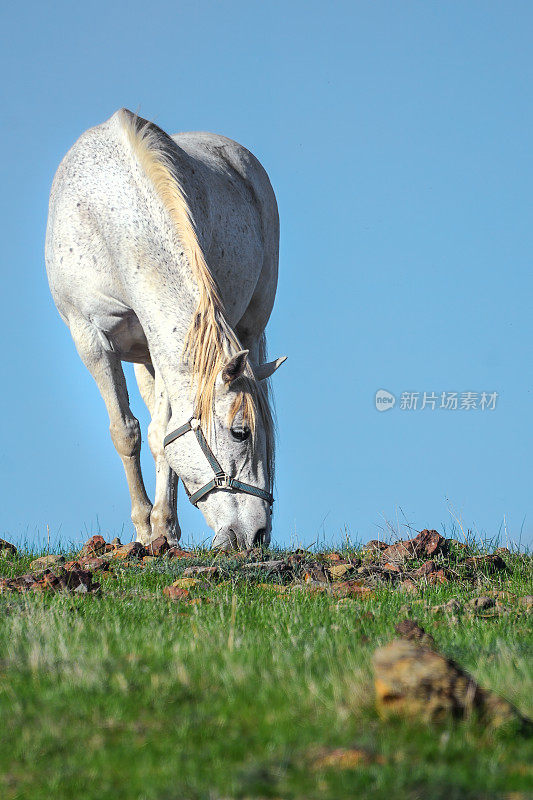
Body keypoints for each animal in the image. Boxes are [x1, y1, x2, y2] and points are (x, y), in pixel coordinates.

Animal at [45, 108, 284, 552]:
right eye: (240, 433)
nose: (256, 535)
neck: (109, 213)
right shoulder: (91, 339)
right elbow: (127, 432)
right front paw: (146, 527)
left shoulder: (160, 343)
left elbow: (162, 435)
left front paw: (162, 527)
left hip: (249, 329)